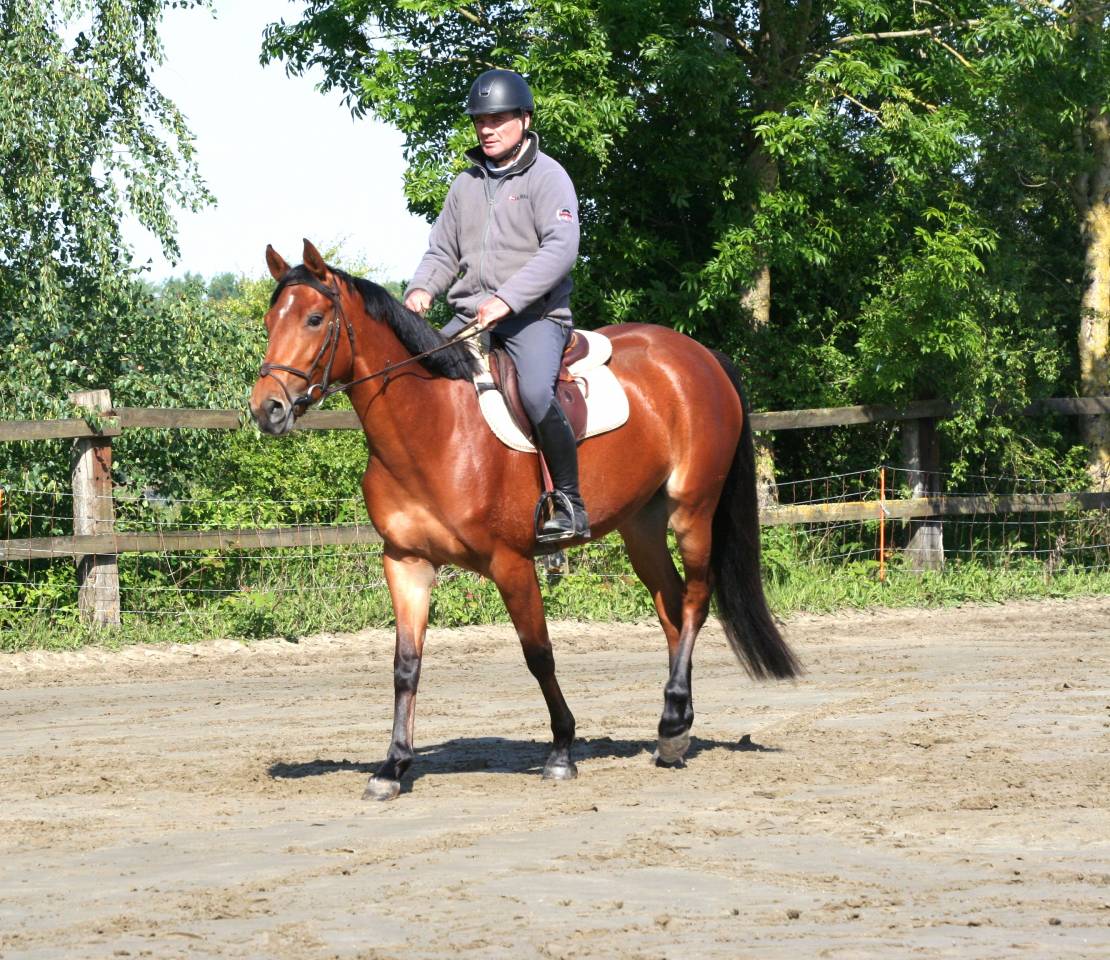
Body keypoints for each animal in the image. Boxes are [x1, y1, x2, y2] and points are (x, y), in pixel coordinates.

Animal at [249, 239, 798, 800]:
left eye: (315, 319)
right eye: (270, 320)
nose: (267, 409)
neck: (432, 426)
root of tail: (701, 355)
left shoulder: (510, 563)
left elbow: (539, 654)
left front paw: (561, 750)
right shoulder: (406, 562)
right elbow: (406, 665)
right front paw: (392, 766)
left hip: (692, 513)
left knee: (693, 604)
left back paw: (670, 726)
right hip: (641, 526)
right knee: (670, 607)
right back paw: (675, 728)